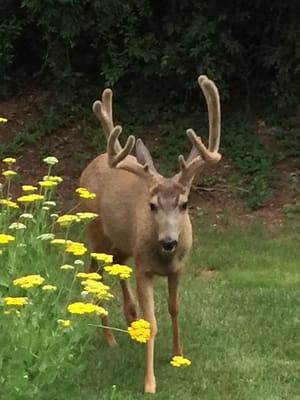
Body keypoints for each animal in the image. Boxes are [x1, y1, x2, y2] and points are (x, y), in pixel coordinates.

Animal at [78, 75, 221, 394]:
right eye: (152, 205)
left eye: (185, 204)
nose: (169, 241)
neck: (163, 259)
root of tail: (93, 162)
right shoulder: (143, 267)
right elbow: (153, 321)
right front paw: (149, 382)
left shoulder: (179, 267)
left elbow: (175, 308)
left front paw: (179, 355)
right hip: (95, 233)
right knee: (96, 274)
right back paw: (111, 338)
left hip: (121, 245)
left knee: (117, 268)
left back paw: (129, 318)